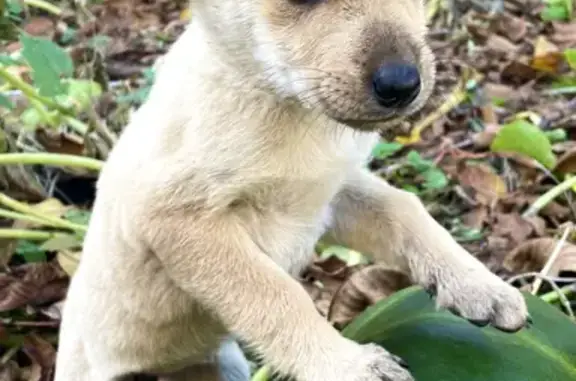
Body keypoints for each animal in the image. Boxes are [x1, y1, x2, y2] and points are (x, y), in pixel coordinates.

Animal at [53, 0, 528, 380]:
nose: (402, 85)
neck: (285, 105)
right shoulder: (179, 221)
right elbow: (275, 295)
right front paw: (348, 365)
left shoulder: (334, 195)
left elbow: (406, 211)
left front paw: (478, 284)